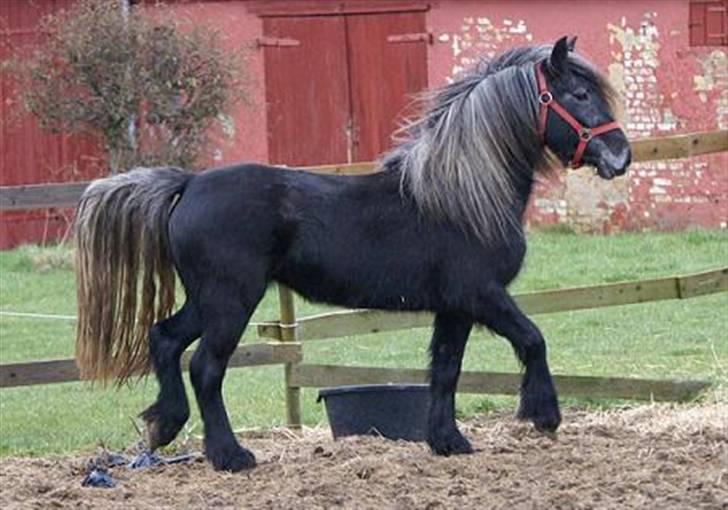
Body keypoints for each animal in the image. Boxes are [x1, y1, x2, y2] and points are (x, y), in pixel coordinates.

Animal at [74, 36, 631, 472]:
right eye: (579, 94)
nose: (620, 157)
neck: (459, 193)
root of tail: (188, 184)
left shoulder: (454, 307)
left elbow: (445, 368)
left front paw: (447, 441)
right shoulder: (482, 295)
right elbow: (533, 339)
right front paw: (544, 415)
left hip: (208, 300)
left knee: (165, 340)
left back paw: (165, 425)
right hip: (231, 300)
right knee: (206, 368)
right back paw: (230, 456)